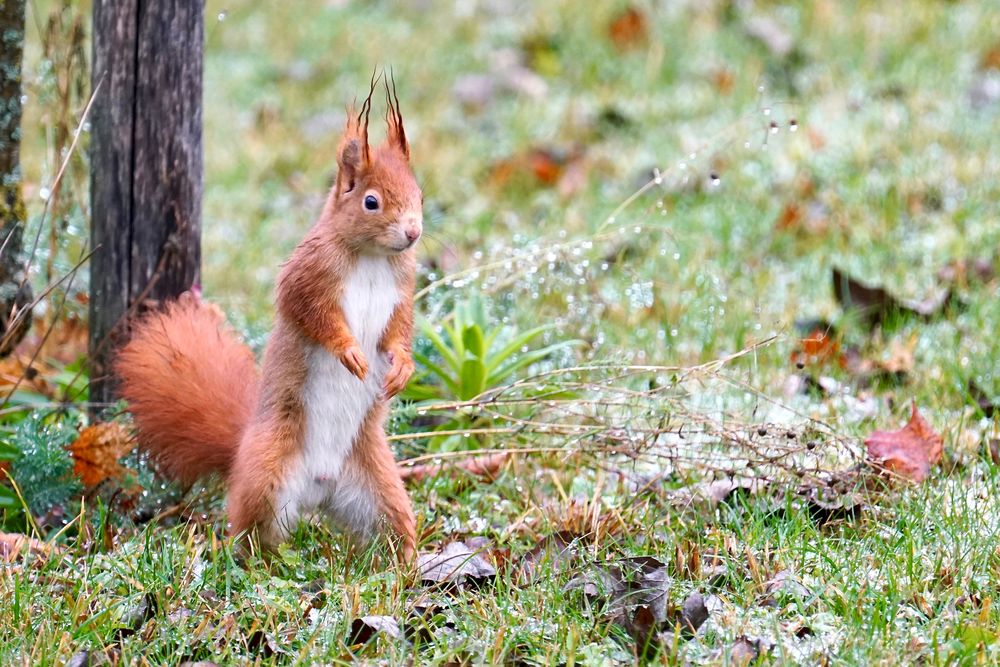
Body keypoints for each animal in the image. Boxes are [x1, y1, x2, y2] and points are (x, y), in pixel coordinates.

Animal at [116, 79, 422, 564]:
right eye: (371, 202)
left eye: (420, 194)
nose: (412, 232)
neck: (373, 259)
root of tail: (320, 489)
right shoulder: (308, 277)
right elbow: (313, 315)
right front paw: (349, 352)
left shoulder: (401, 293)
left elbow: (398, 331)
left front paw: (402, 366)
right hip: (267, 474)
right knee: (251, 532)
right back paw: (261, 563)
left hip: (379, 489)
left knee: (390, 528)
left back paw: (406, 565)